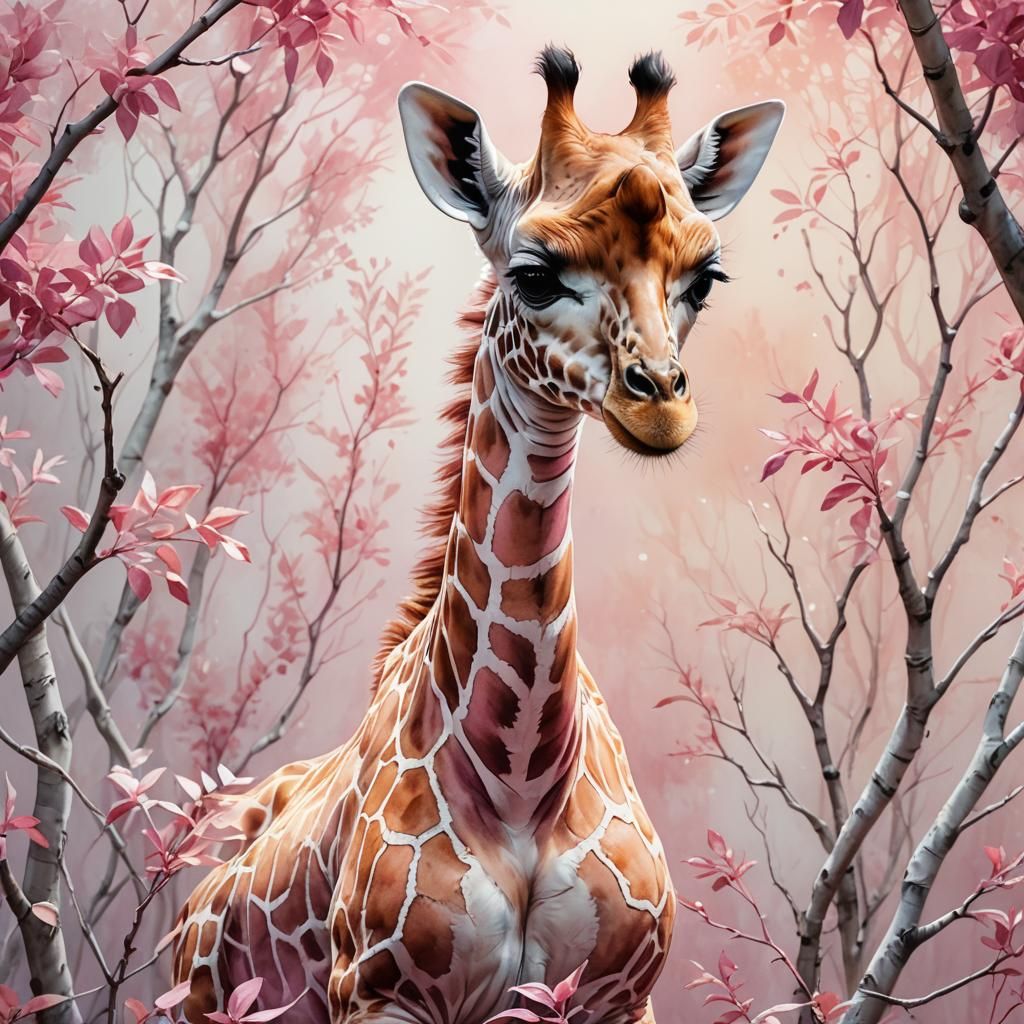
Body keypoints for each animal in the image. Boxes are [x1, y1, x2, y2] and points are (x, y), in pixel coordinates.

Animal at [172, 47, 783, 1024]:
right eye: (533, 270)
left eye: (704, 278)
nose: (661, 405)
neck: (524, 775)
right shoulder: (377, 992)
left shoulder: (618, 996)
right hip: (199, 1000)